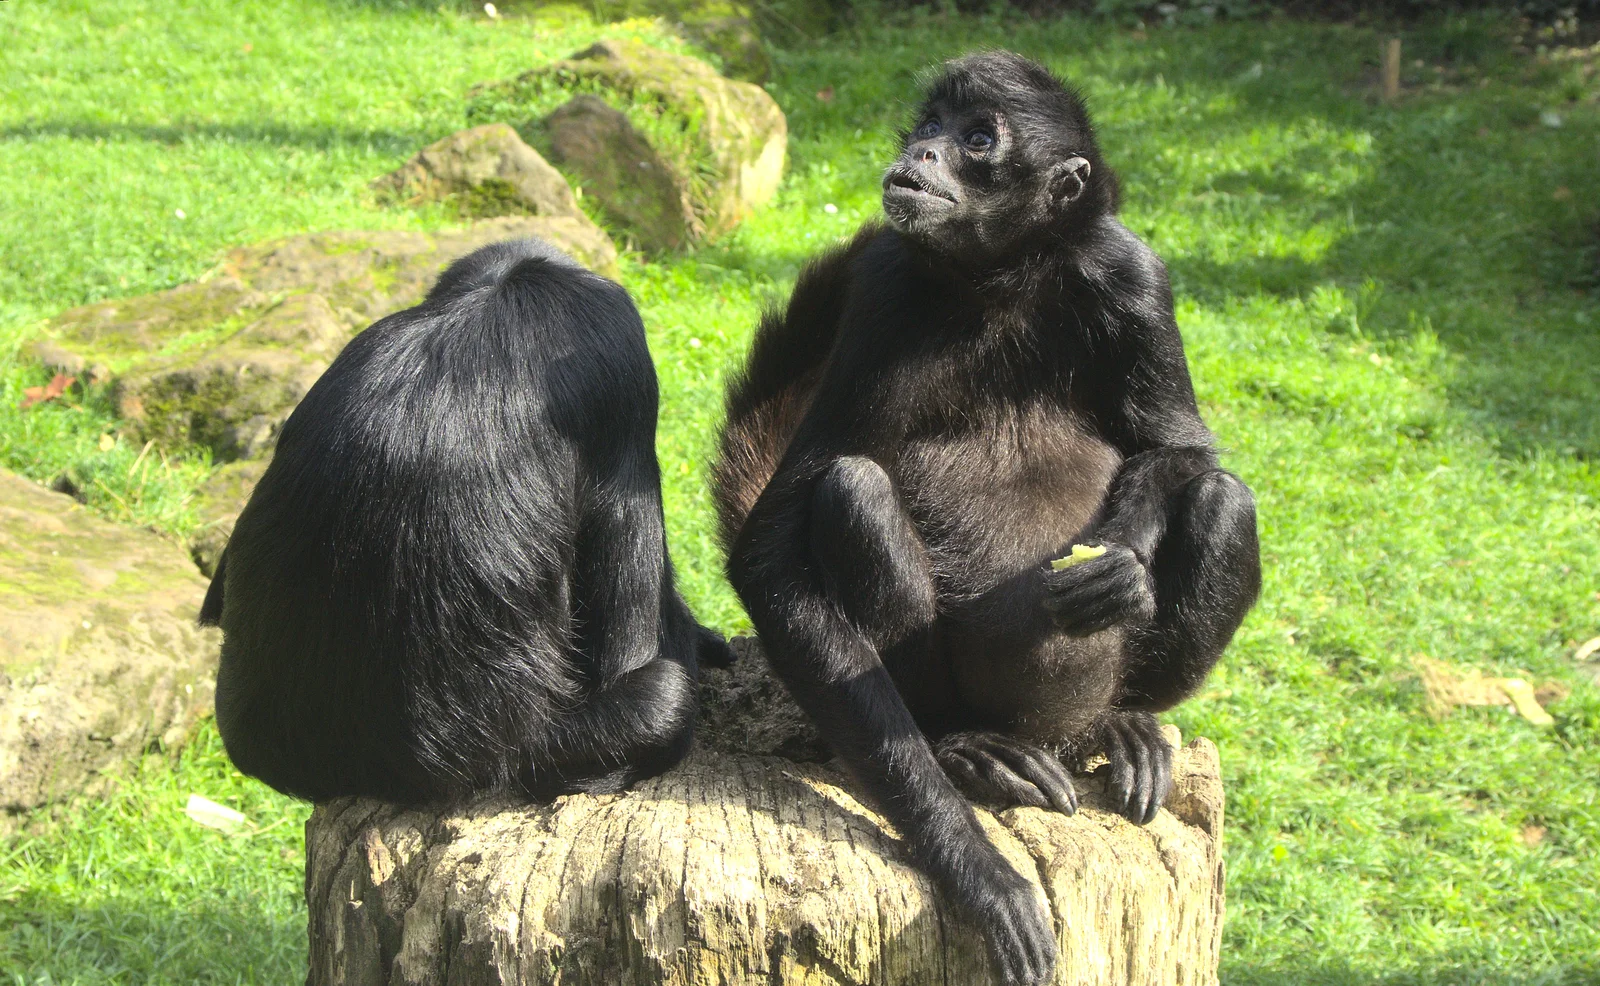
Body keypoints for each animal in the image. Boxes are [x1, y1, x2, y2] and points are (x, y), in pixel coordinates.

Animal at [716, 56, 1260, 986]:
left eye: (979, 138)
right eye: (927, 126)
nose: (924, 152)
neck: (1003, 278)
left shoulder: (1132, 275)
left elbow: (1182, 447)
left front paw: (1118, 565)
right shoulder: (886, 288)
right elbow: (769, 553)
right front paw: (977, 870)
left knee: (1225, 497)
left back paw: (1118, 724)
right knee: (852, 487)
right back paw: (967, 748)